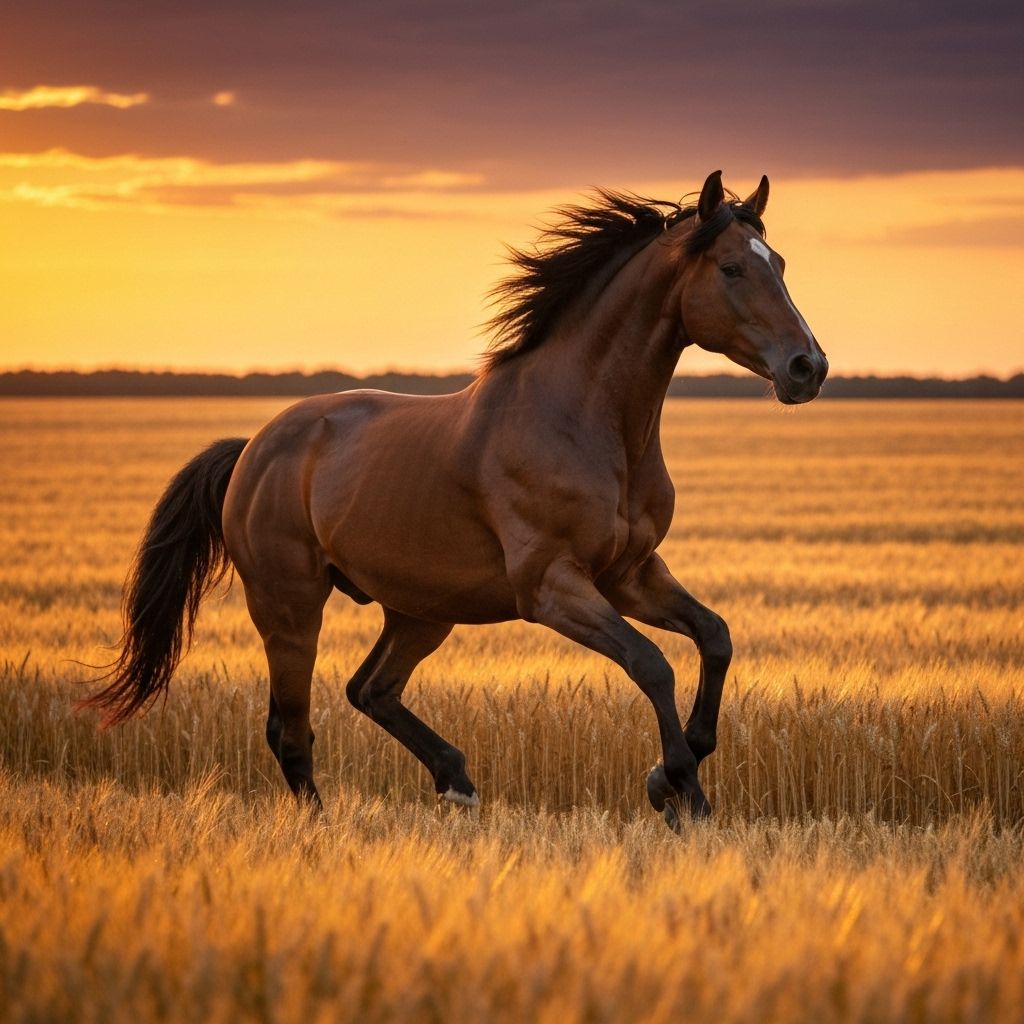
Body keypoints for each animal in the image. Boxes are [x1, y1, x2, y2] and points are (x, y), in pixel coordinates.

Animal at [82, 170, 828, 829]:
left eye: (782, 264)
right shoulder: (551, 587)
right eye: (731, 268)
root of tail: (253, 450)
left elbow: (715, 637)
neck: (587, 420)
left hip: (420, 611)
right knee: (290, 730)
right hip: (289, 606)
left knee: (369, 689)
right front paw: (679, 790)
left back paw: (458, 782)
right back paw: (326, 829)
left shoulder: (631, 574)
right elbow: (652, 663)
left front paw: (675, 774)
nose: (808, 367)